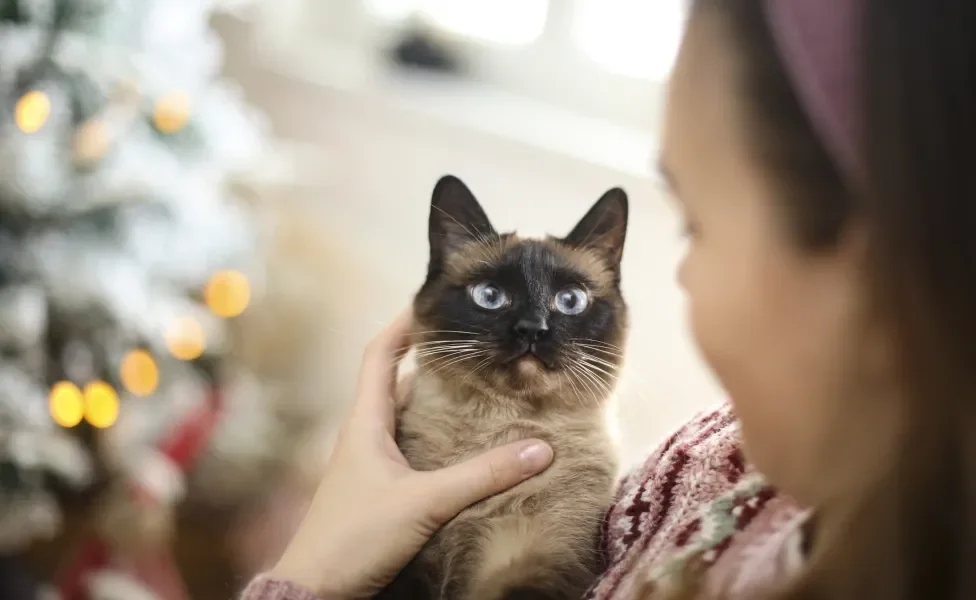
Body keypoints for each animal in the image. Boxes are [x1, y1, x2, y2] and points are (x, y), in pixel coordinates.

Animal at [378, 176, 628, 596]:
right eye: (490, 295)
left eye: (570, 300)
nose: (532, 329)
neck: (499, 429)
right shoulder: (412, 568)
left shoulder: (543, 562)